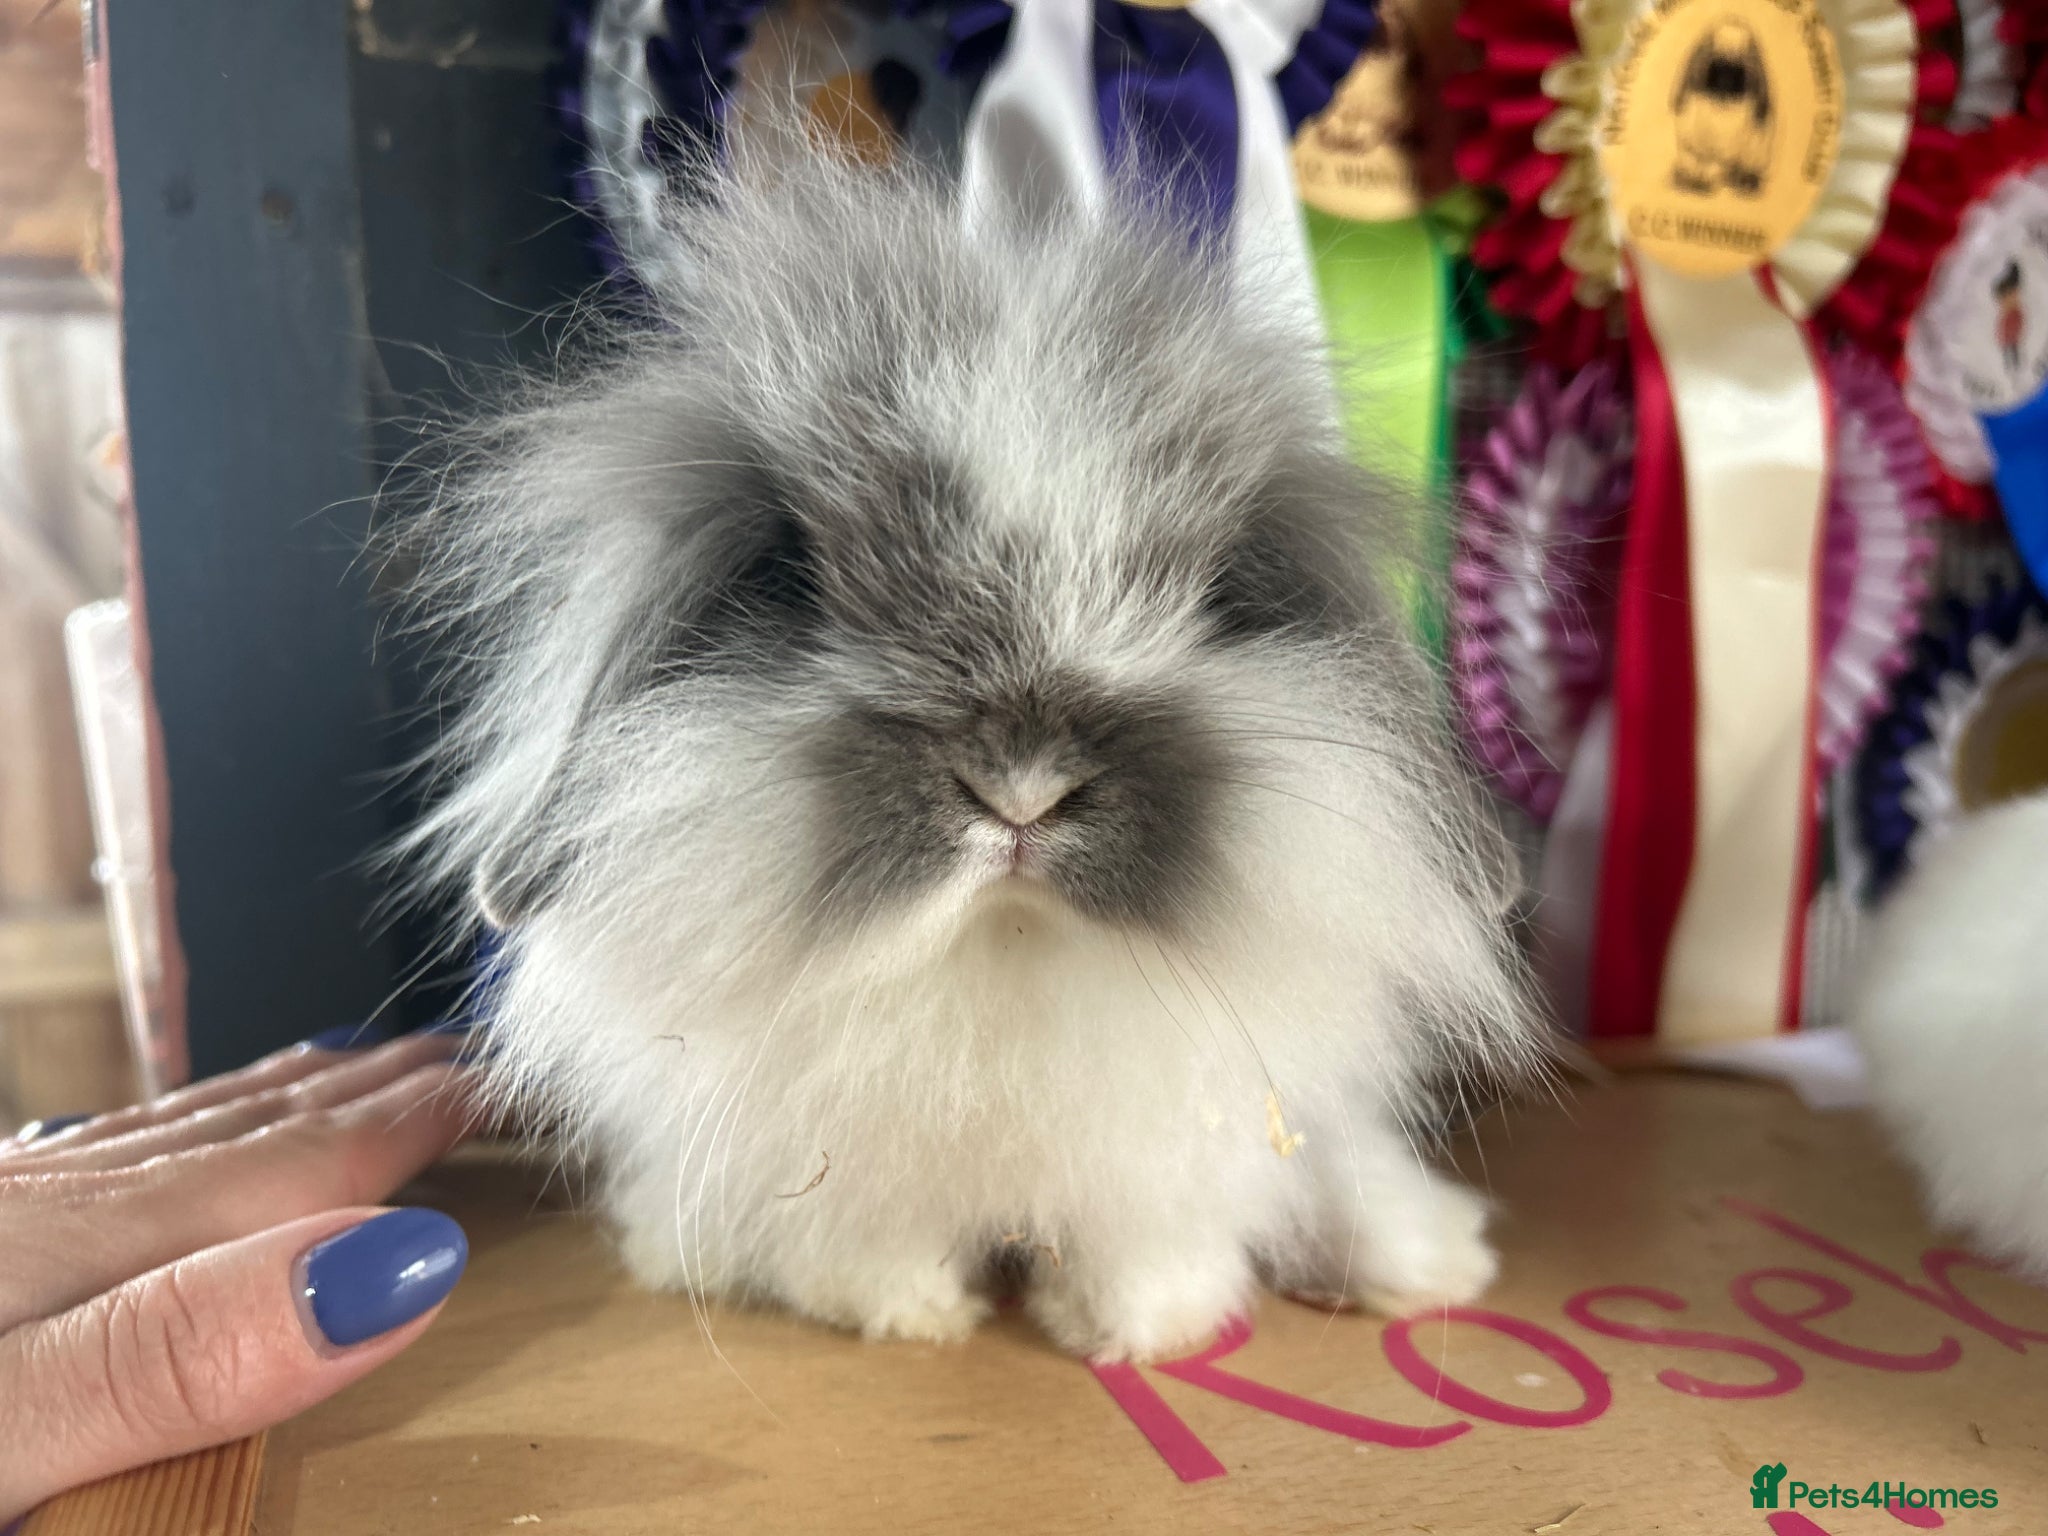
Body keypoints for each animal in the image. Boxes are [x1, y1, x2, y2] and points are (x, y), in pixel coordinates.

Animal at [392, 144, 1545, 1362]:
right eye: (792, 581)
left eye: (1219, 593)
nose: (1020, 791)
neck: (1002, 947)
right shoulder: (840, 1166)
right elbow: (864, 1243)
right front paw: (908, 1316)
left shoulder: (1166, 1165)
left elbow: (1151, 1248)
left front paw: (1142, 1332)